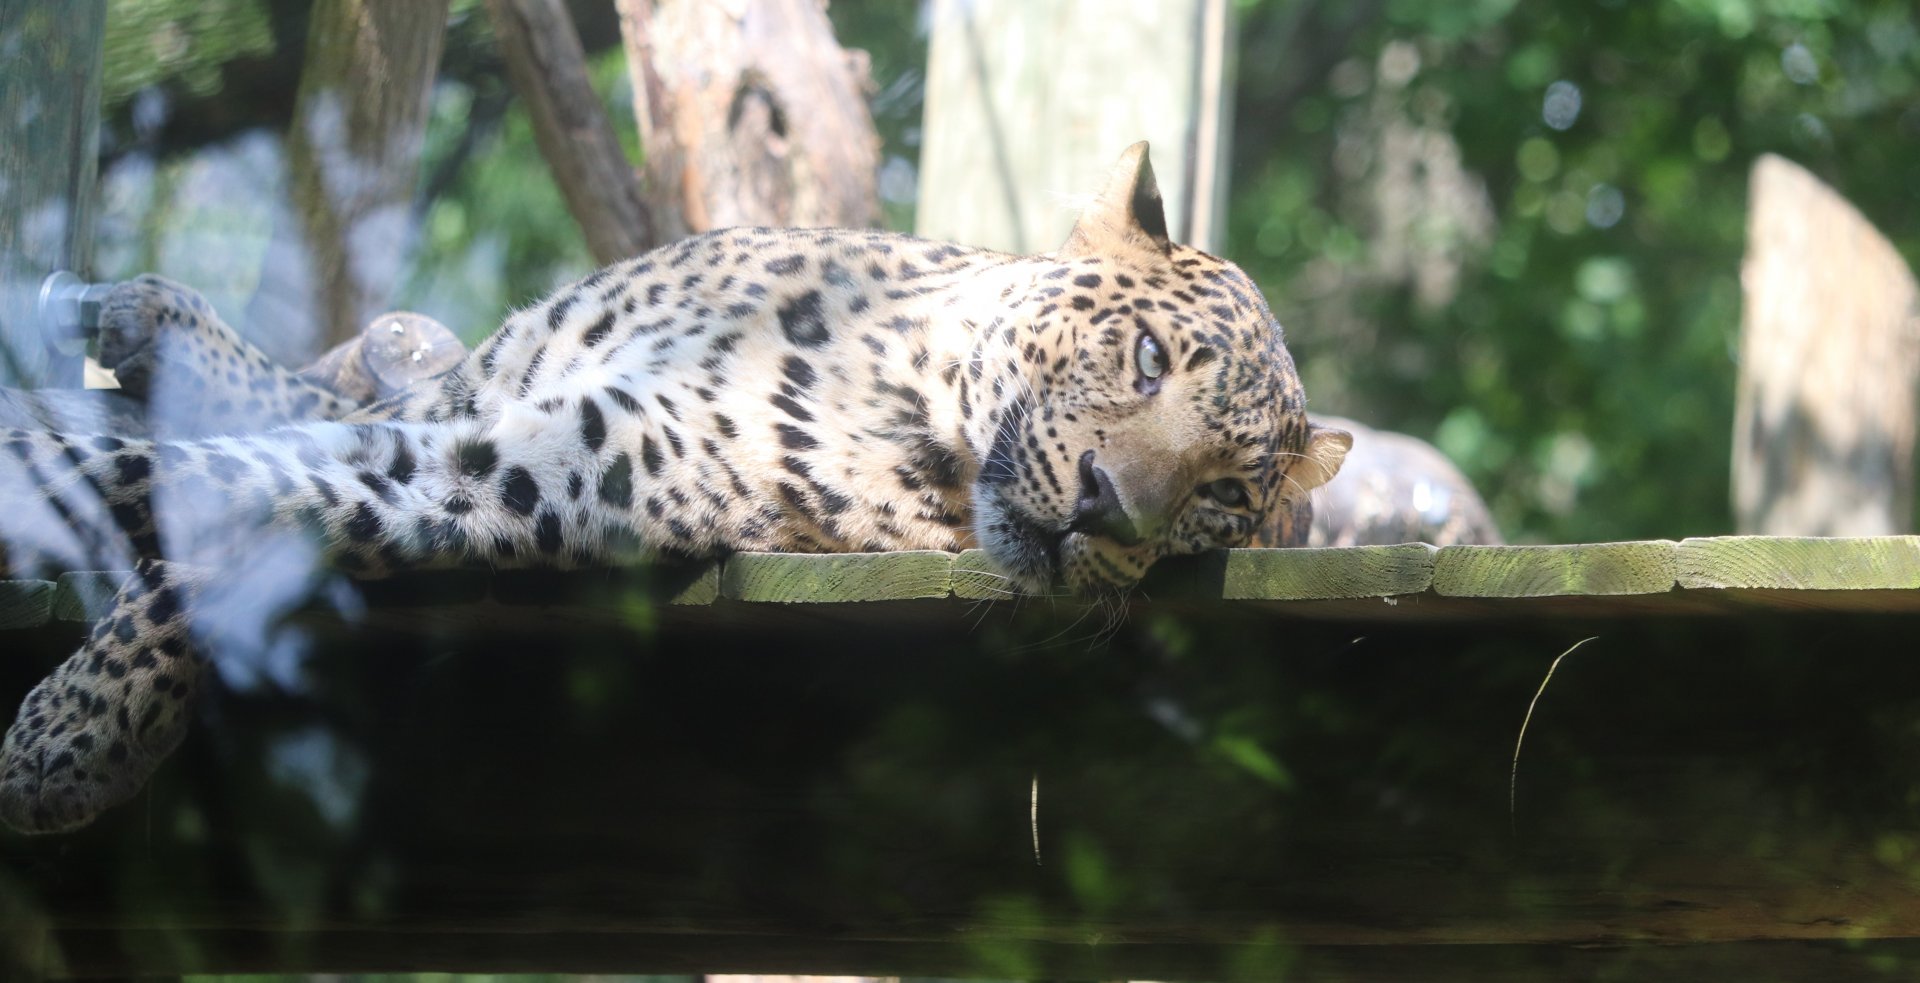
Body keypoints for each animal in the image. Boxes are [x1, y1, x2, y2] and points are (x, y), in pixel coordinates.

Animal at [0, 143, 1350, 834]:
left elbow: (237, 488)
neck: (897, 365)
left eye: (1224, 498)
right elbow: (233, 459)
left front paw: (70, 733)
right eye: (1147, 359)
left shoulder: (527, 471)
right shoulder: (474, 400)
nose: (1111, 508)